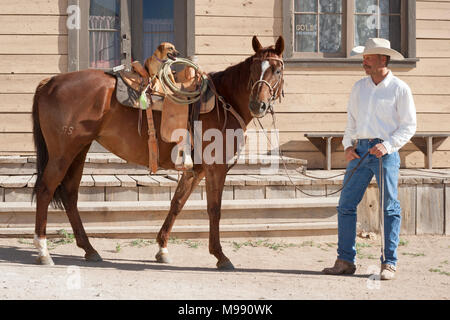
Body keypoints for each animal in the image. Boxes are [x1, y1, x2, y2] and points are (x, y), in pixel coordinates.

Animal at [31, 35, 284, 270]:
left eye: (277, 70)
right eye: (253, 70)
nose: (258, 105)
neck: (225, 102)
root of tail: (50, 82)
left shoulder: (195, 170)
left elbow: (177, 203)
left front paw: (162, 248)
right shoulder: (216, 169)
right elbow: (214, 210)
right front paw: (220, 256)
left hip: (79, 151)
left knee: (70, 195)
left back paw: (89, 249)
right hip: (62, 154)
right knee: (45, 191)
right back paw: (44, 251)